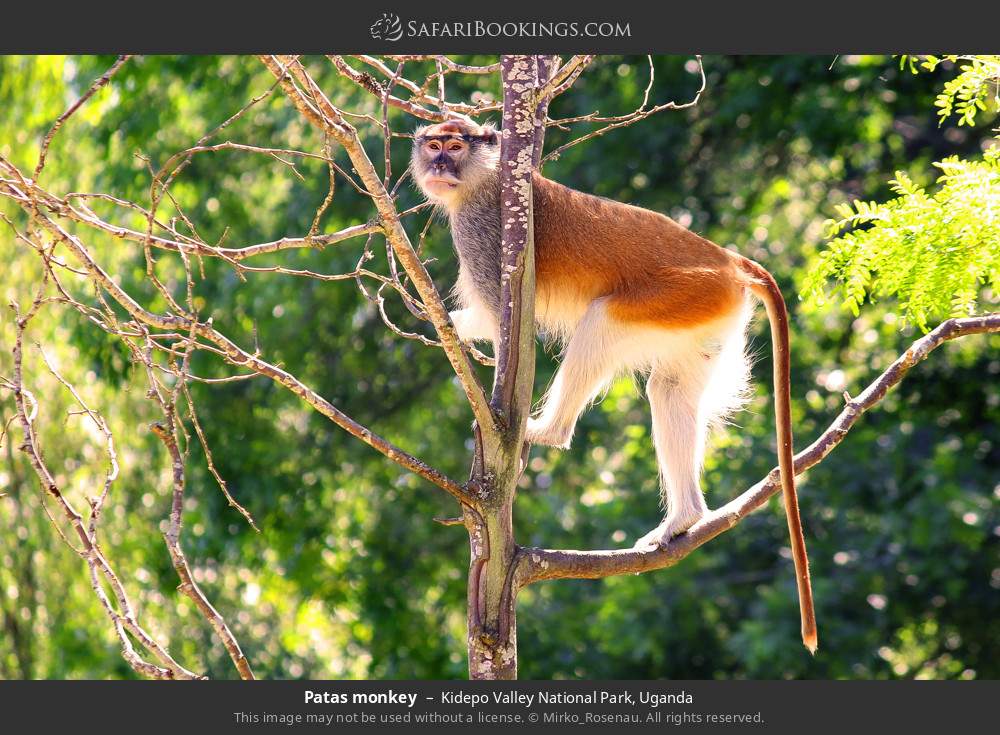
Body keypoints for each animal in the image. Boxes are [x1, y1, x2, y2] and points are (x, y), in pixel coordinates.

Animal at [410, 121, 816, 656]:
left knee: (600, 321)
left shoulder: (482, 229)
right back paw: (684, 518)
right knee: (669, 390)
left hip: (683, 296)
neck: (489, 175)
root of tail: (727, 260)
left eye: (456, 146)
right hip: (708, 313)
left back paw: (545, 432)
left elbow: (501, 319)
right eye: (434, 144)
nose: (438, 164)